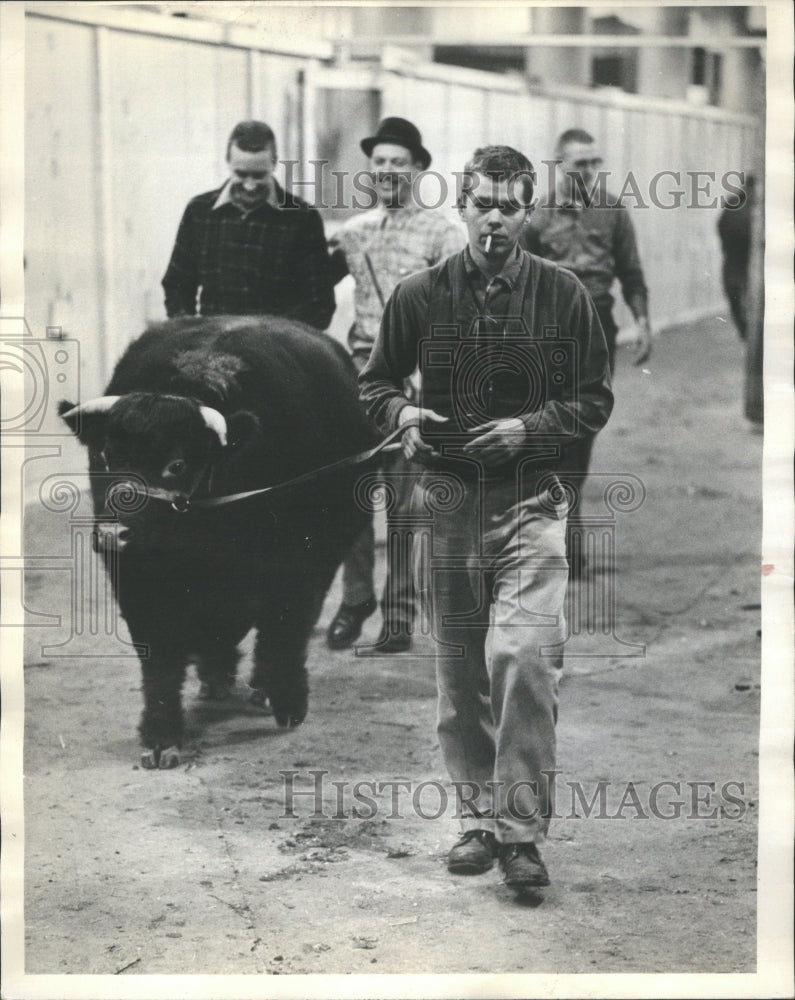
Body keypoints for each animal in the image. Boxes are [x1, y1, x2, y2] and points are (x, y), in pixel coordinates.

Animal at [59, 316, 376, 768]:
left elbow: (283, 631)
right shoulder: (137, 579)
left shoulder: (297, 565)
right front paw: (162, 737)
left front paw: (286, 700)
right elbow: (161, 659)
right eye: (106, 457)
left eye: (176, 464)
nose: (112, 534)